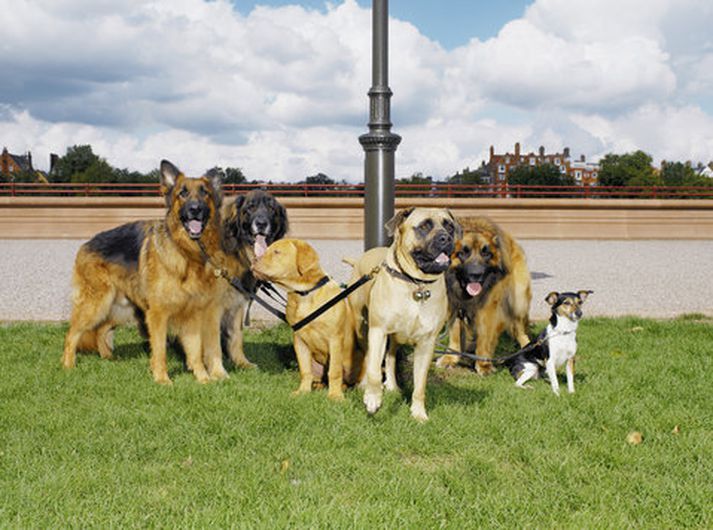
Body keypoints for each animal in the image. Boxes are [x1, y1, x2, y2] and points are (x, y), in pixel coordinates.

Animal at [62, 159, 239, 382]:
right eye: (182, 193)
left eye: (204, 193)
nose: (195, 209)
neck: (187, 252)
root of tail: (85, 244)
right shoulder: (157, 315)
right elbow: (160, 350)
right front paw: (162, 379)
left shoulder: (192, 315)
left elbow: (195, 351)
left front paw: (203, 379)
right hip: (96, 306)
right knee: (72, 334)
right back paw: (68, 365)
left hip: (120, 308)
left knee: (101, 330)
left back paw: (108, 357)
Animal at [346, 206, 458, 420]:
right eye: (424, 226)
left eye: (449, 226)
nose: (446, 238)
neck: (417, 283)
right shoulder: (378, 331)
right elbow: (374, 370)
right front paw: (373, 399)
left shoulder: (426, 343)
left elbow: (420, 384)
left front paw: (418, 413)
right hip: (361, 326)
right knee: (367, 357)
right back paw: (364, 385)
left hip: (396, 336)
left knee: (390, 357)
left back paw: (392, 385)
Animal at [436, 217, 532, 374]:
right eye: (462, 253)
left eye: (486, 254)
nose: (476, 274)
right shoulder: (454, 304)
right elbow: (455, 333)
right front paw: (451, 357)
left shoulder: (488, 308)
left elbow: (485, 336)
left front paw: (483, 364)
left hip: (518, 301)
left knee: (520, 330)